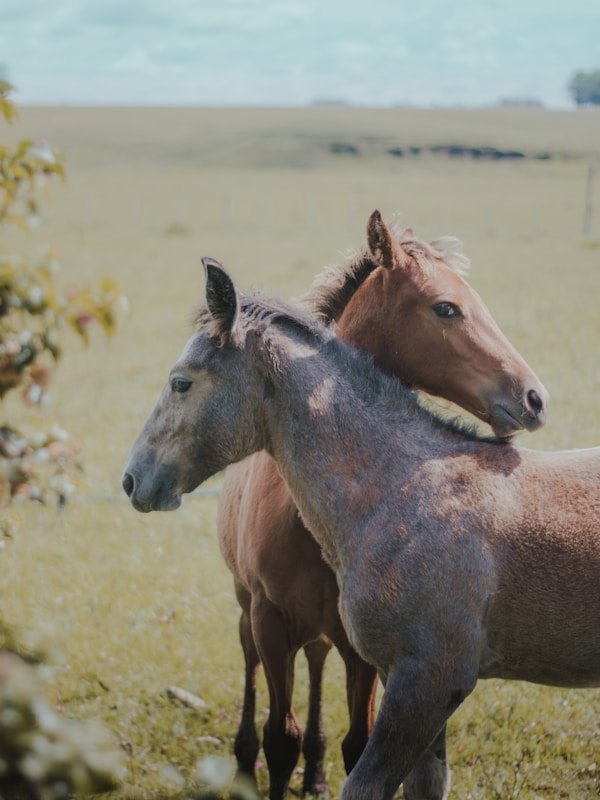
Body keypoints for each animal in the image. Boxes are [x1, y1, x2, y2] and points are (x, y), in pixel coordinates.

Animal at [218, 212, 548, 800]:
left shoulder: (364, 649)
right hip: (246, 609)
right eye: (446, 307)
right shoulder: (270, 621)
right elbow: (279, 739)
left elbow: (355, 743)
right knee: (252, 668)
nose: (534, 397)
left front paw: (323, 763)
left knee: (317, 664)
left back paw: (316, 769)